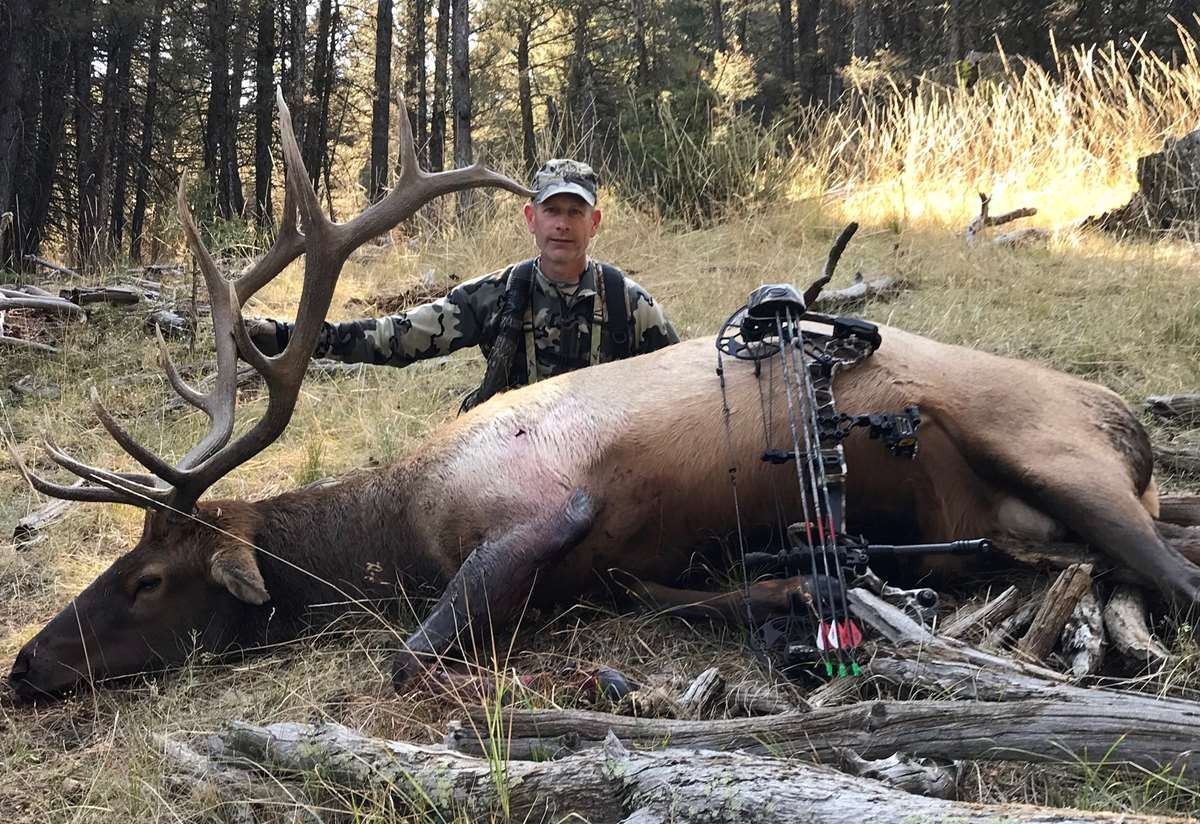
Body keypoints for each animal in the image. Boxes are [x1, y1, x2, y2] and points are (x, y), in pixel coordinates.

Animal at [8, 95, 1200, 703]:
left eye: (148, 578)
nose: (24, 664)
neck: (400, 522)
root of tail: (1131, 428)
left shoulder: (539, 505)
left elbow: (408, 653)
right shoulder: (621, 562)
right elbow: (680, 592)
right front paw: (776, 596)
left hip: (1059, 451)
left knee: (1173, 569)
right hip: (1021, 513)